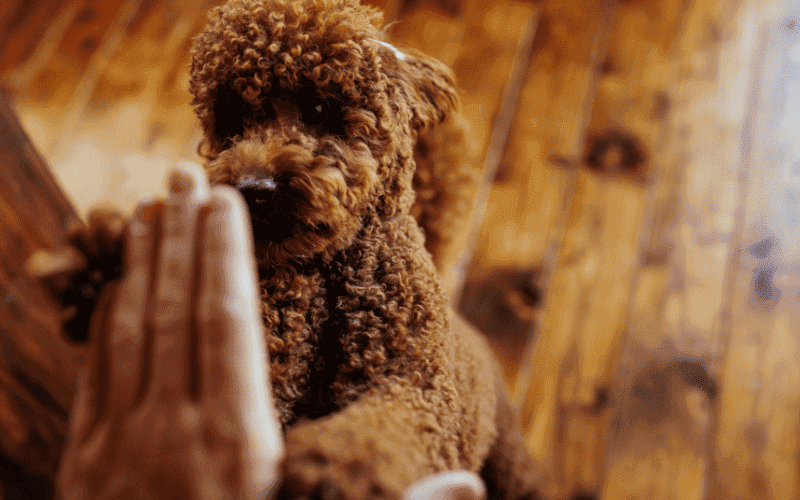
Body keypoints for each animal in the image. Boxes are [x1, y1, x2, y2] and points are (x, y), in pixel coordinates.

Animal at [184, 0, 540, 498]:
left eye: (317, 107)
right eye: (232, 121)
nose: (253, 188)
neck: (329, 270)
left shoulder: (417, 385)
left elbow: (377, 435)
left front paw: (331, 470)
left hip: (508, 456)